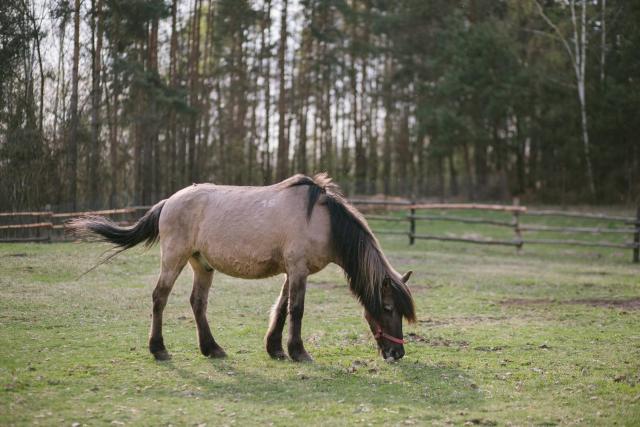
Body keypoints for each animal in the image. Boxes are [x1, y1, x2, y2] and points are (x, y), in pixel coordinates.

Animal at [71, 176, 416, 362]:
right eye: (387, 307)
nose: (397, 354)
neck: (323, 221)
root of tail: (169, 201)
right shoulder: (298, 269)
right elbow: (296, 309)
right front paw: (298, 352)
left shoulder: (292, 271)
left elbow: (281, 307)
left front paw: (276, 350)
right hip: (174, 259)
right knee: (160, 298)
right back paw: (159, 349)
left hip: (202, 265)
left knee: (197, 303)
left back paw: (212, 348)